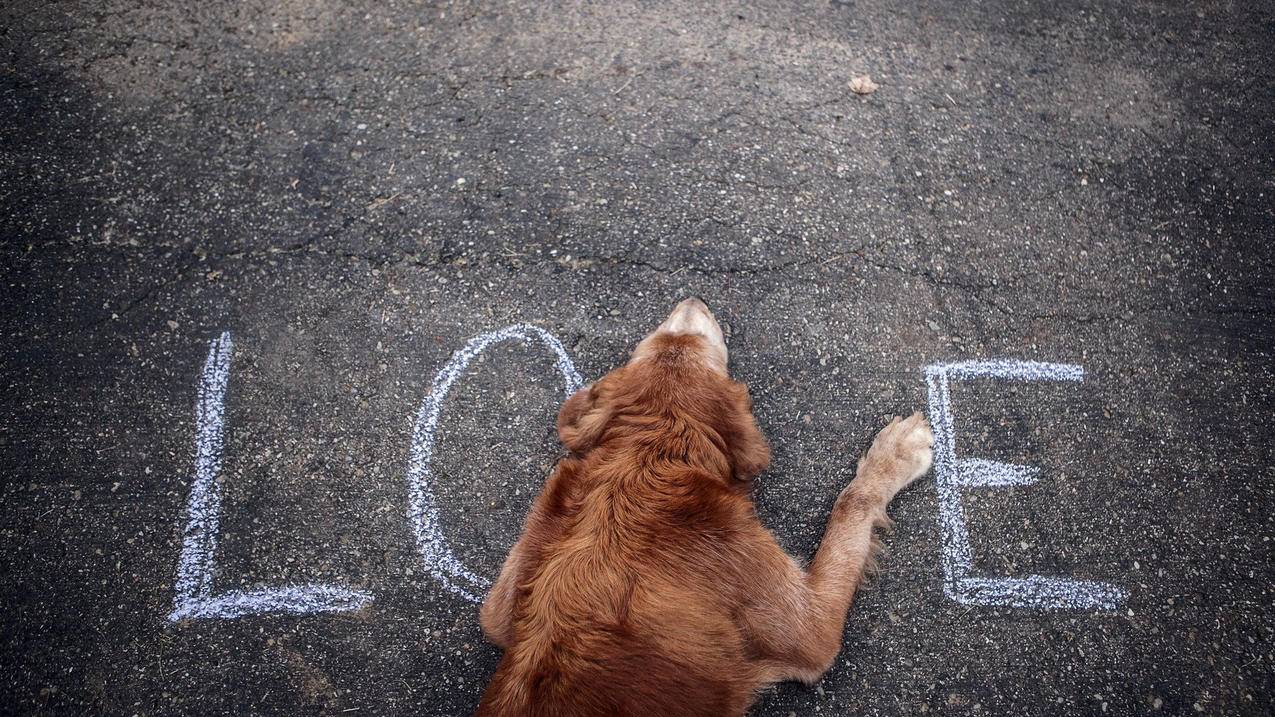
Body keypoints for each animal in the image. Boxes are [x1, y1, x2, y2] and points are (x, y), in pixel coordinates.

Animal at [474, 295, 933, 714]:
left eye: (657, 338)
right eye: (695, 343)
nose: (692, 300)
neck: (648, 457)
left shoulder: (500, 604)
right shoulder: (811, 630)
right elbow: (851, 503)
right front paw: (895, 454)